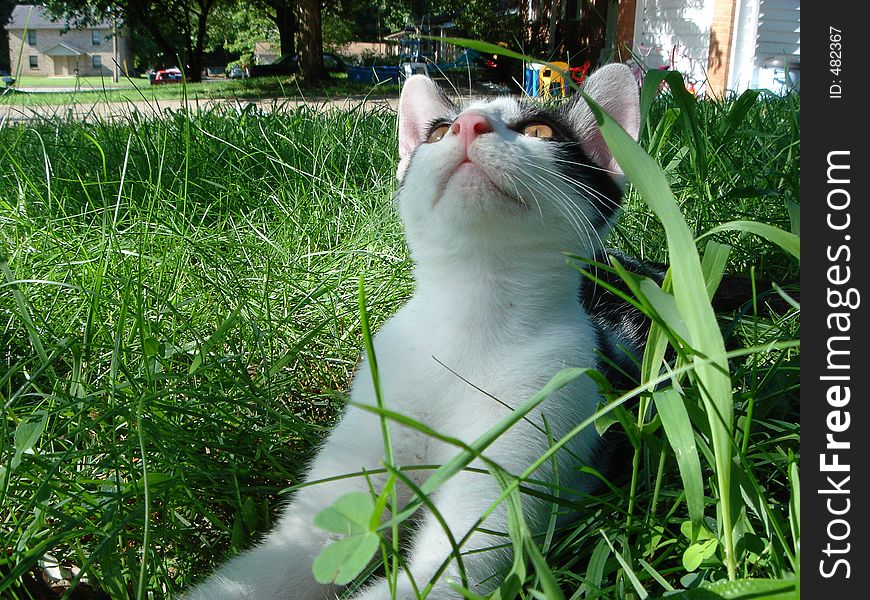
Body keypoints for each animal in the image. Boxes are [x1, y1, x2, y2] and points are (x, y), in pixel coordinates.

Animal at [187, 64, 644, 600]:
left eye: (541, 131)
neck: (469, 324)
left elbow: (445, 572)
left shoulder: (548, 410)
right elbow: (285, 555)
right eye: (440, 131)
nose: (468, 124)